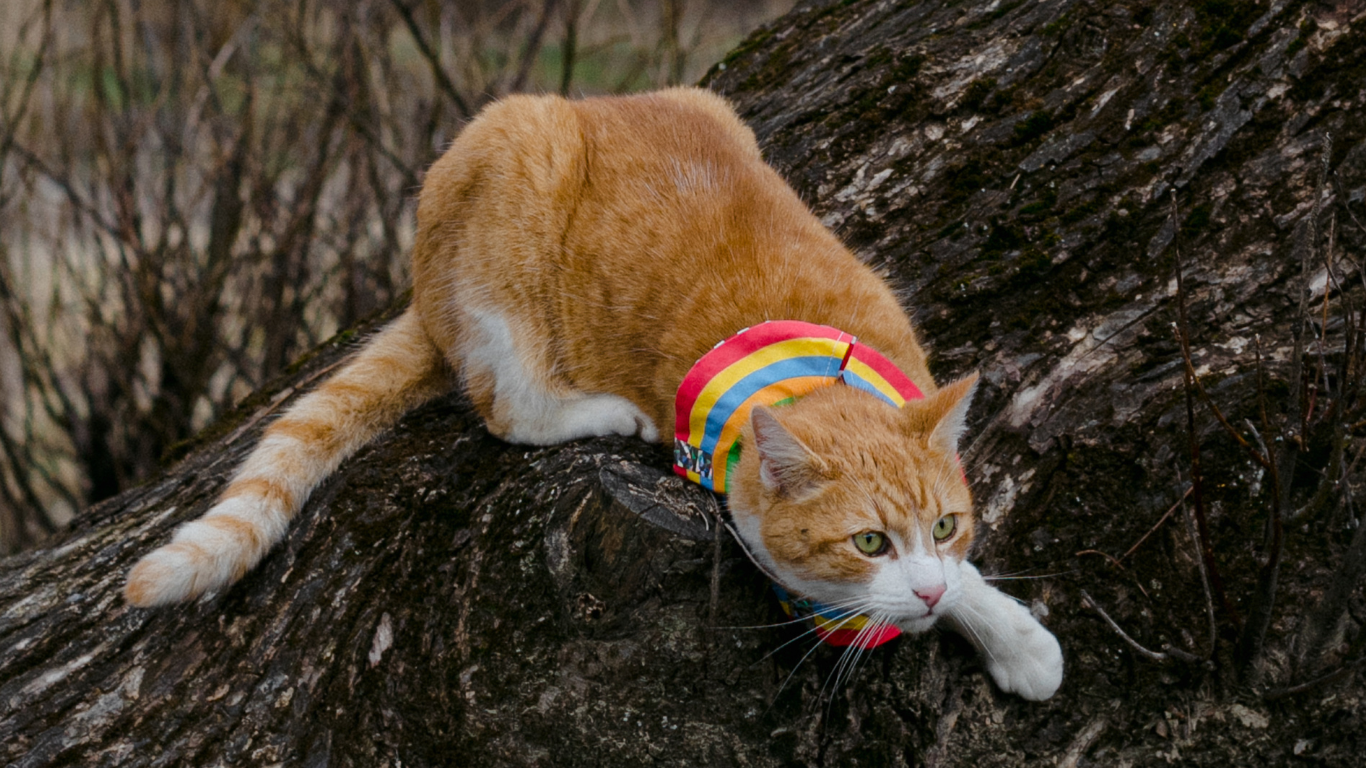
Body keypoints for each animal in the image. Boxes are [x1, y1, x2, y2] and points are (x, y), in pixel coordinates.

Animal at [125, 86, 1065, 696]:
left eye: (946, 523)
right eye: (868, 542)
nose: (927, 595)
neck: (816, 368)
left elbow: (962, 572)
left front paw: (1003, 629)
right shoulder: (729, 489)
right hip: (513, 174)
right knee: (504, 401)